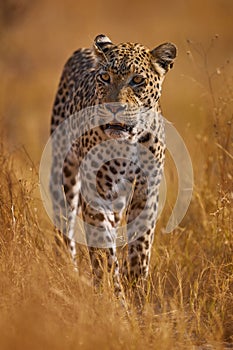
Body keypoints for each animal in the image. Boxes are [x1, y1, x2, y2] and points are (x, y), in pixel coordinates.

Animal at [49, 34, 177, 294]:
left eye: (137, 80)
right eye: (105, 77)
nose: (114, 107)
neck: (129, 140)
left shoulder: (146, 190)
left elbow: (140, 246)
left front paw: (137, 291)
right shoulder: (95, 191)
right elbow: (103, 251)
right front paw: (112, 295)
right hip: (64, 173)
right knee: (64, 226)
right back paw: (69, 271)